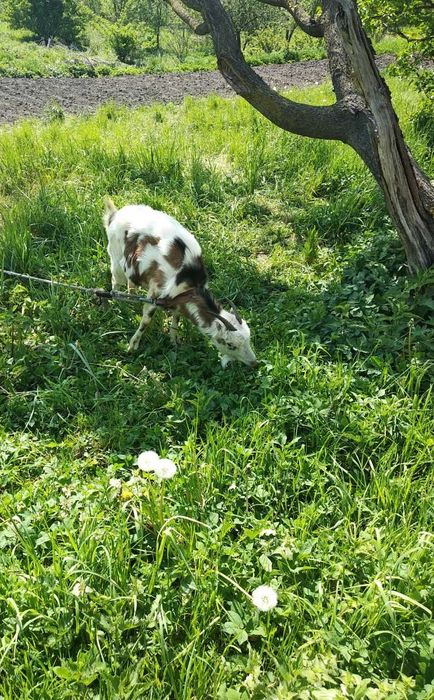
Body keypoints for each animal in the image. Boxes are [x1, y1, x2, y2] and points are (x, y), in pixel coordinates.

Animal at [103, 198, 257, 368]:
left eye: (249, 338)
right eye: (230, 345)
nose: (254, 363)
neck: (189, 281)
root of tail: (115, 214)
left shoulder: (177, 299)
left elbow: (176, 318)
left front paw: (174, 341)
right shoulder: (156, 292)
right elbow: (146, 320)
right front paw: (132, 346)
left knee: (131, 284)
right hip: (115, 257)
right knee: (115, 281)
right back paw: (118, 305)